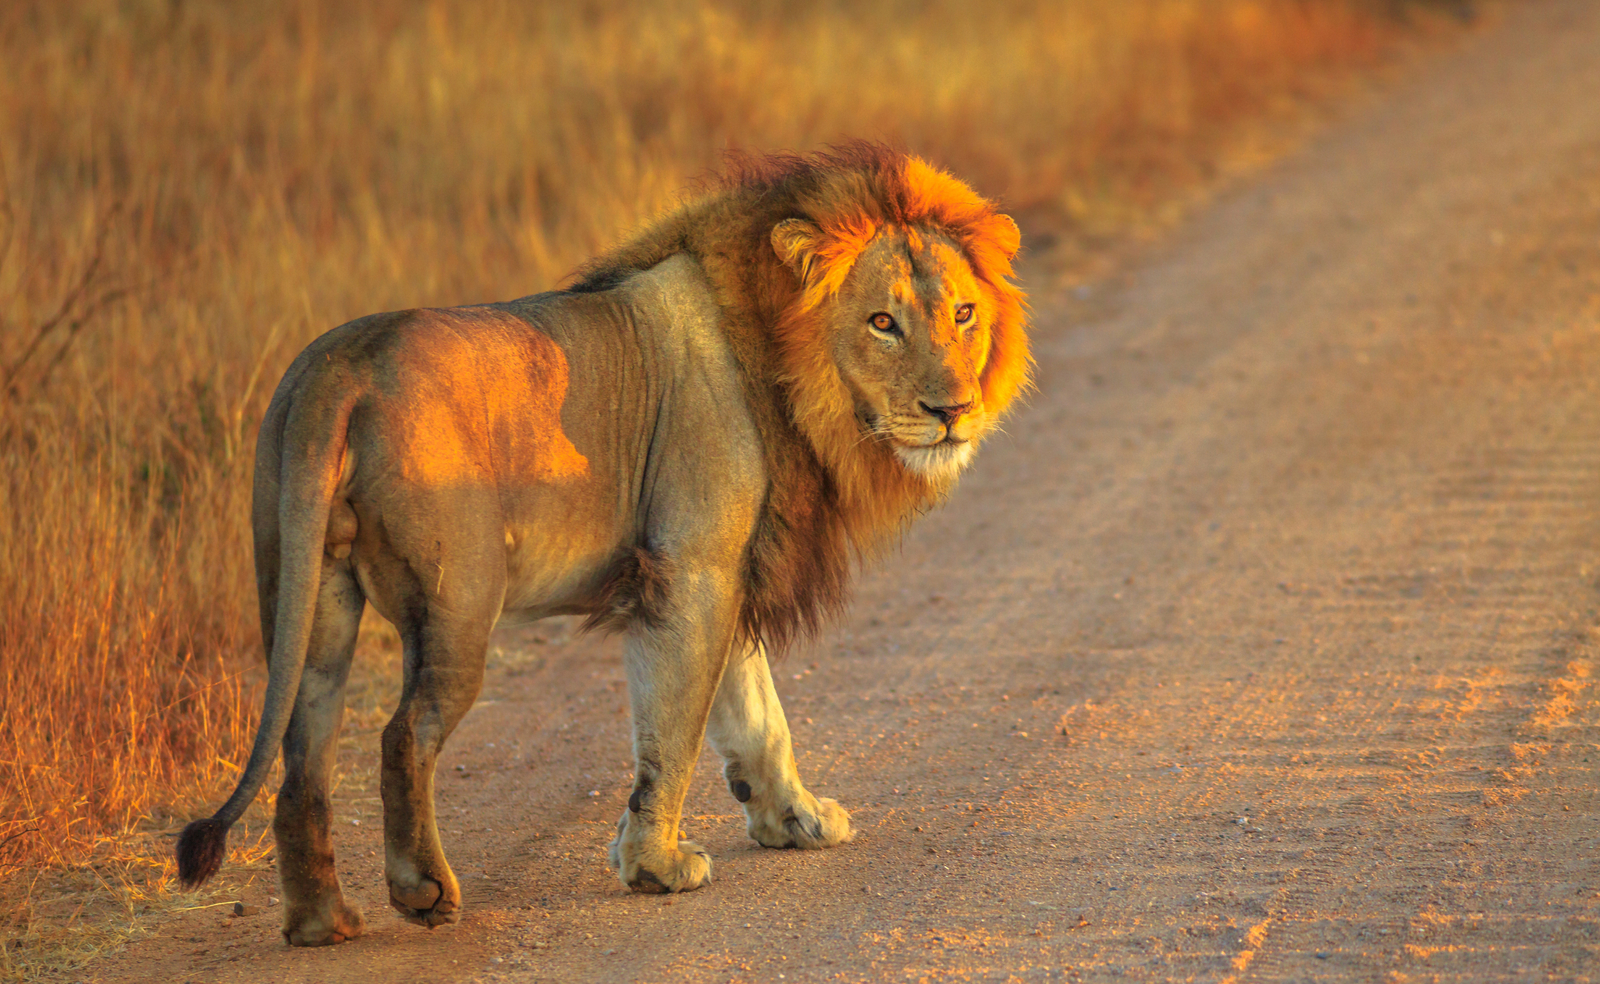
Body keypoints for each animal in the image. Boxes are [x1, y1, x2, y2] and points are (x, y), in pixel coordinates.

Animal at [172, 140, 1024, 947]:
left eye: (964, 315)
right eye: (883, 322)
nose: (954, 410)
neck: (787, 363)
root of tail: (340, 369)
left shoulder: (729, 567)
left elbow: (756, 714)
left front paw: (796, 820)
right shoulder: (692, 569)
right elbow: (675, 730)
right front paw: (656, 867)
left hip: (311, 595)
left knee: (303, 756)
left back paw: (322, 921)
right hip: (457, 605)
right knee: (402, 735)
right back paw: (422, 891)